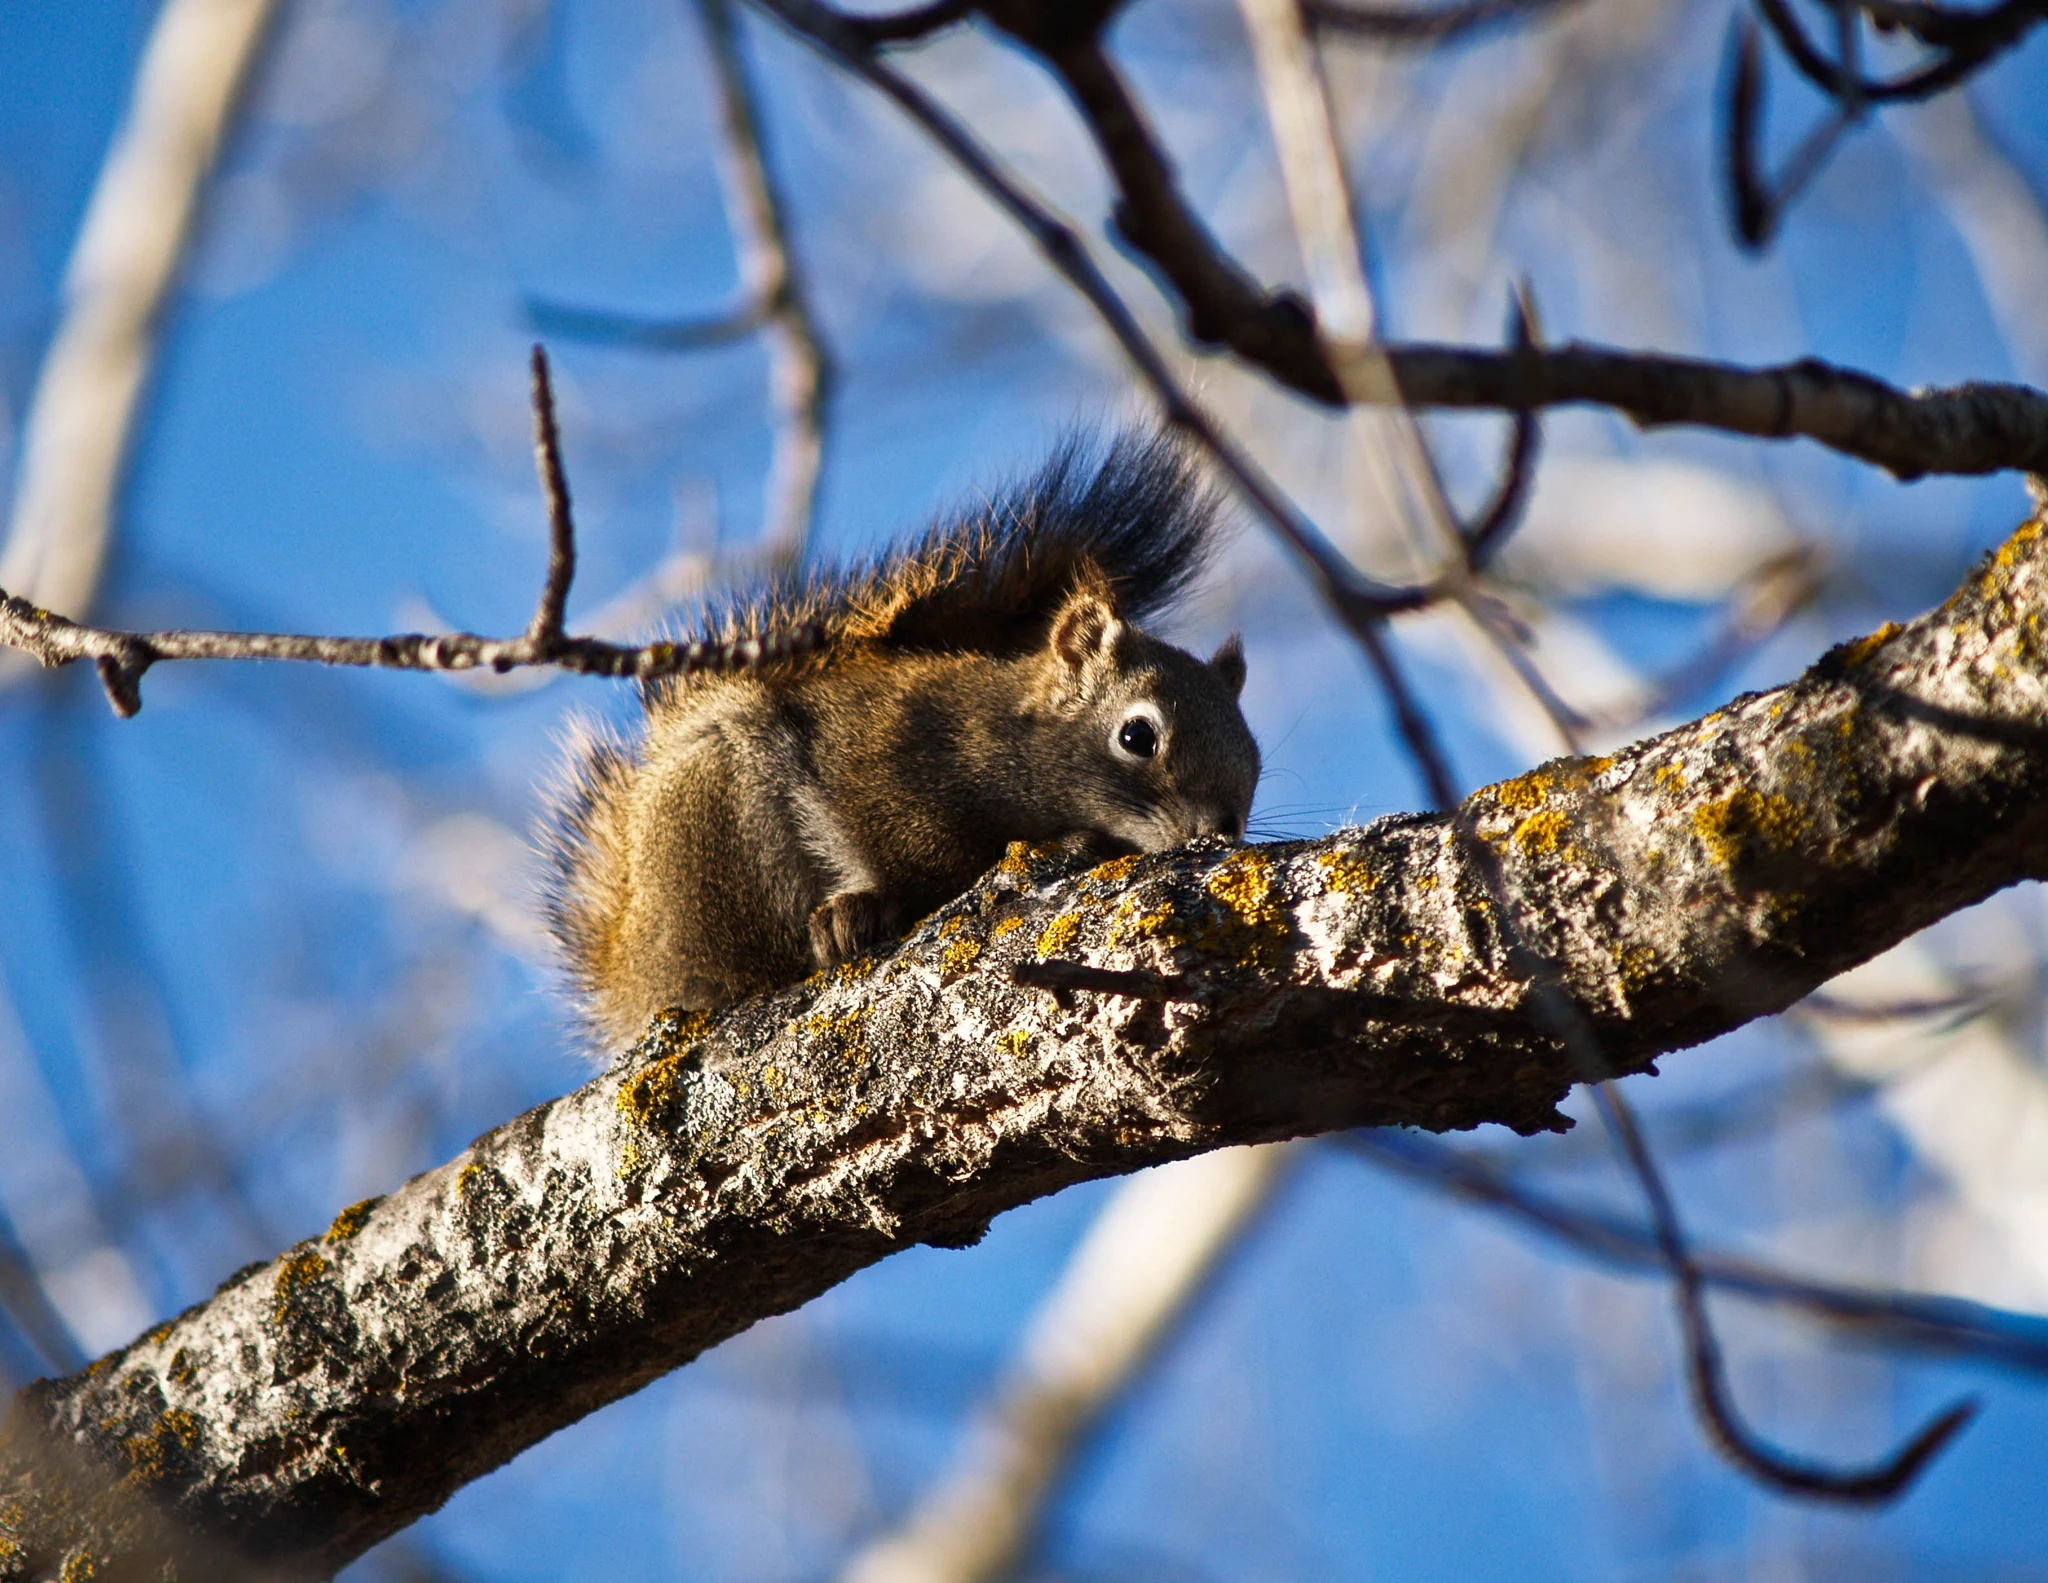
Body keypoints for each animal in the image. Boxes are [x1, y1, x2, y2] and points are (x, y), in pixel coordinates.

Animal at [542, 431, 1260, 1050]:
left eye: (1253, 763)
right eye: (1137, 736)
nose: (1218, 831)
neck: (1010, 736)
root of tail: (634, 964)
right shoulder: (884, 767)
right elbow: (920, 856)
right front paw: (1063, 845)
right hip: (725, 830)